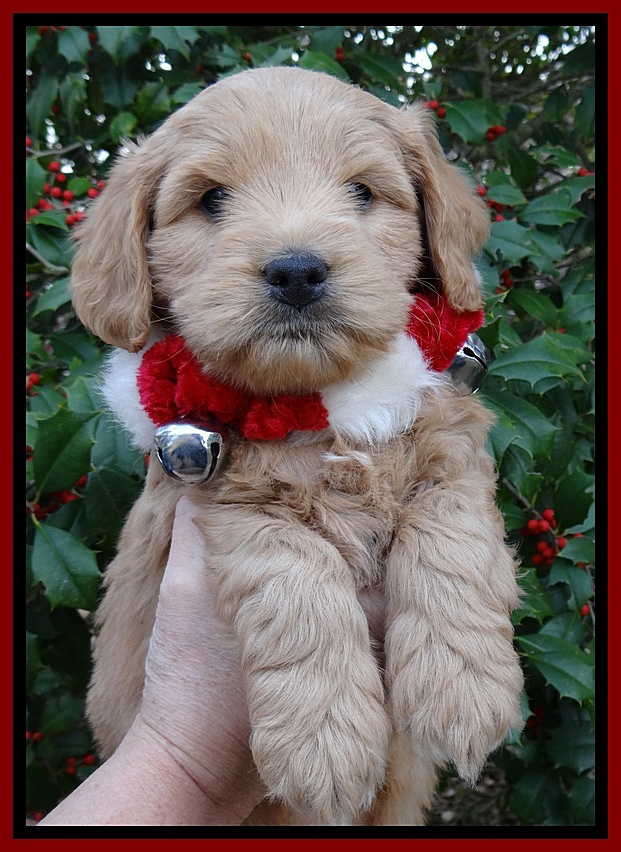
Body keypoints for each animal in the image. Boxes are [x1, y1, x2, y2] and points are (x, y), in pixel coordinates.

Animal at [70, 66, 524, 826]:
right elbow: (293, 575)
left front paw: (462, 685)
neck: (318, 412)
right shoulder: (219, 498)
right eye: (212, 199)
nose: (296, 271)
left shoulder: (452, 450)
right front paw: (324, 738)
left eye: (362, 192)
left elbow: (449, 531)